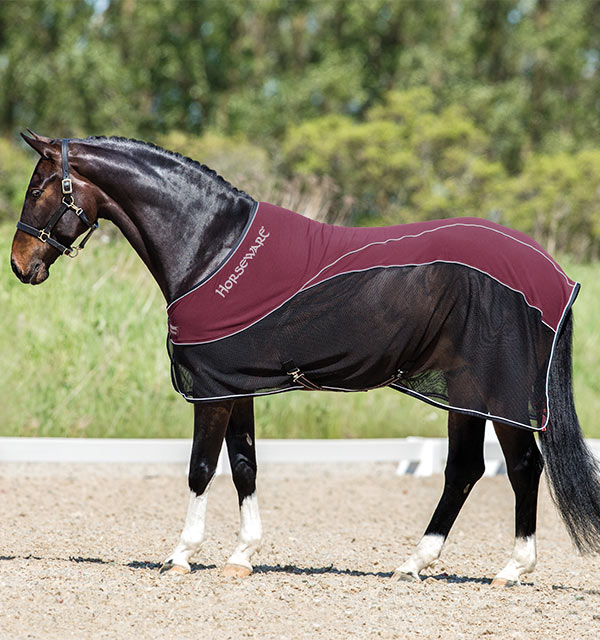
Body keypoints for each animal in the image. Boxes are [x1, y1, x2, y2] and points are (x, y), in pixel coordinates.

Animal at [10, 132, 600, 585]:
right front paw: (241, 556)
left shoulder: (210, 390)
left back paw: (511, 569)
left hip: (495, 388)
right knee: (465, 470)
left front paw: (180, 556)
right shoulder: (236, 385)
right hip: (465, 391)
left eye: (38, 188)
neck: (213, 249)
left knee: (520, 467)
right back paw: (414, 564)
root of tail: (553, 274)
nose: (20, 264)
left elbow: (201, 468)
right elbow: (243, 466)